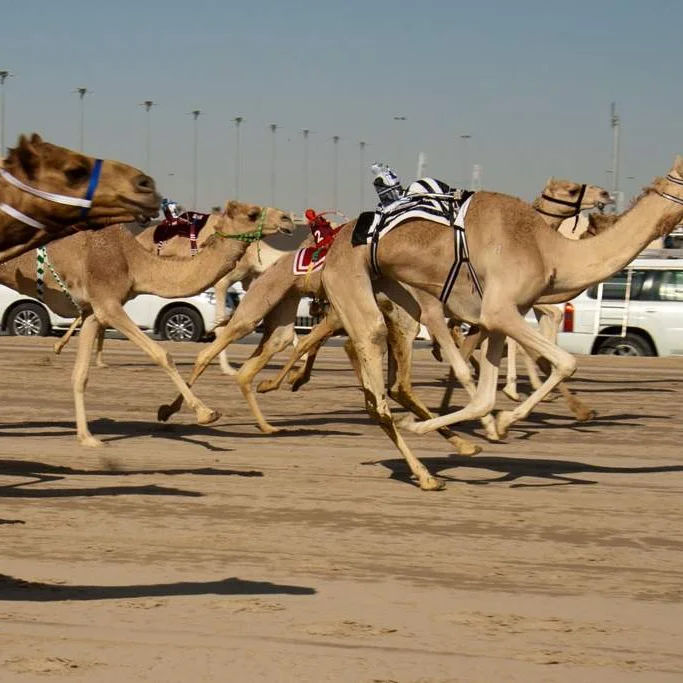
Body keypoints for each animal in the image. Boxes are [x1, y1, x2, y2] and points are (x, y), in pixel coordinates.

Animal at [0, 201, 293, 446]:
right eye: (252, 213)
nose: (288, 218)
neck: (133, 261)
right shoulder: (109, 304)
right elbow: (163, 354)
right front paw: (204, 412)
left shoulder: (95, 311)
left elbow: (80, 375)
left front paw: (87, 438)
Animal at [314, 159, 683, 490]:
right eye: (571, 188)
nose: (606, 193)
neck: (549, 251)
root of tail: (331, 244)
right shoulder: (500, 311)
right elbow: (565, 362)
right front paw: (501, 422)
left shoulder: (494, 320)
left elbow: (486, 396)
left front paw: (496, 425)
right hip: (354, 288)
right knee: (377, 392)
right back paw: (425, 474)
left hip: (400, 298)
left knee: (387, 382)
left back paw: (448, 450)